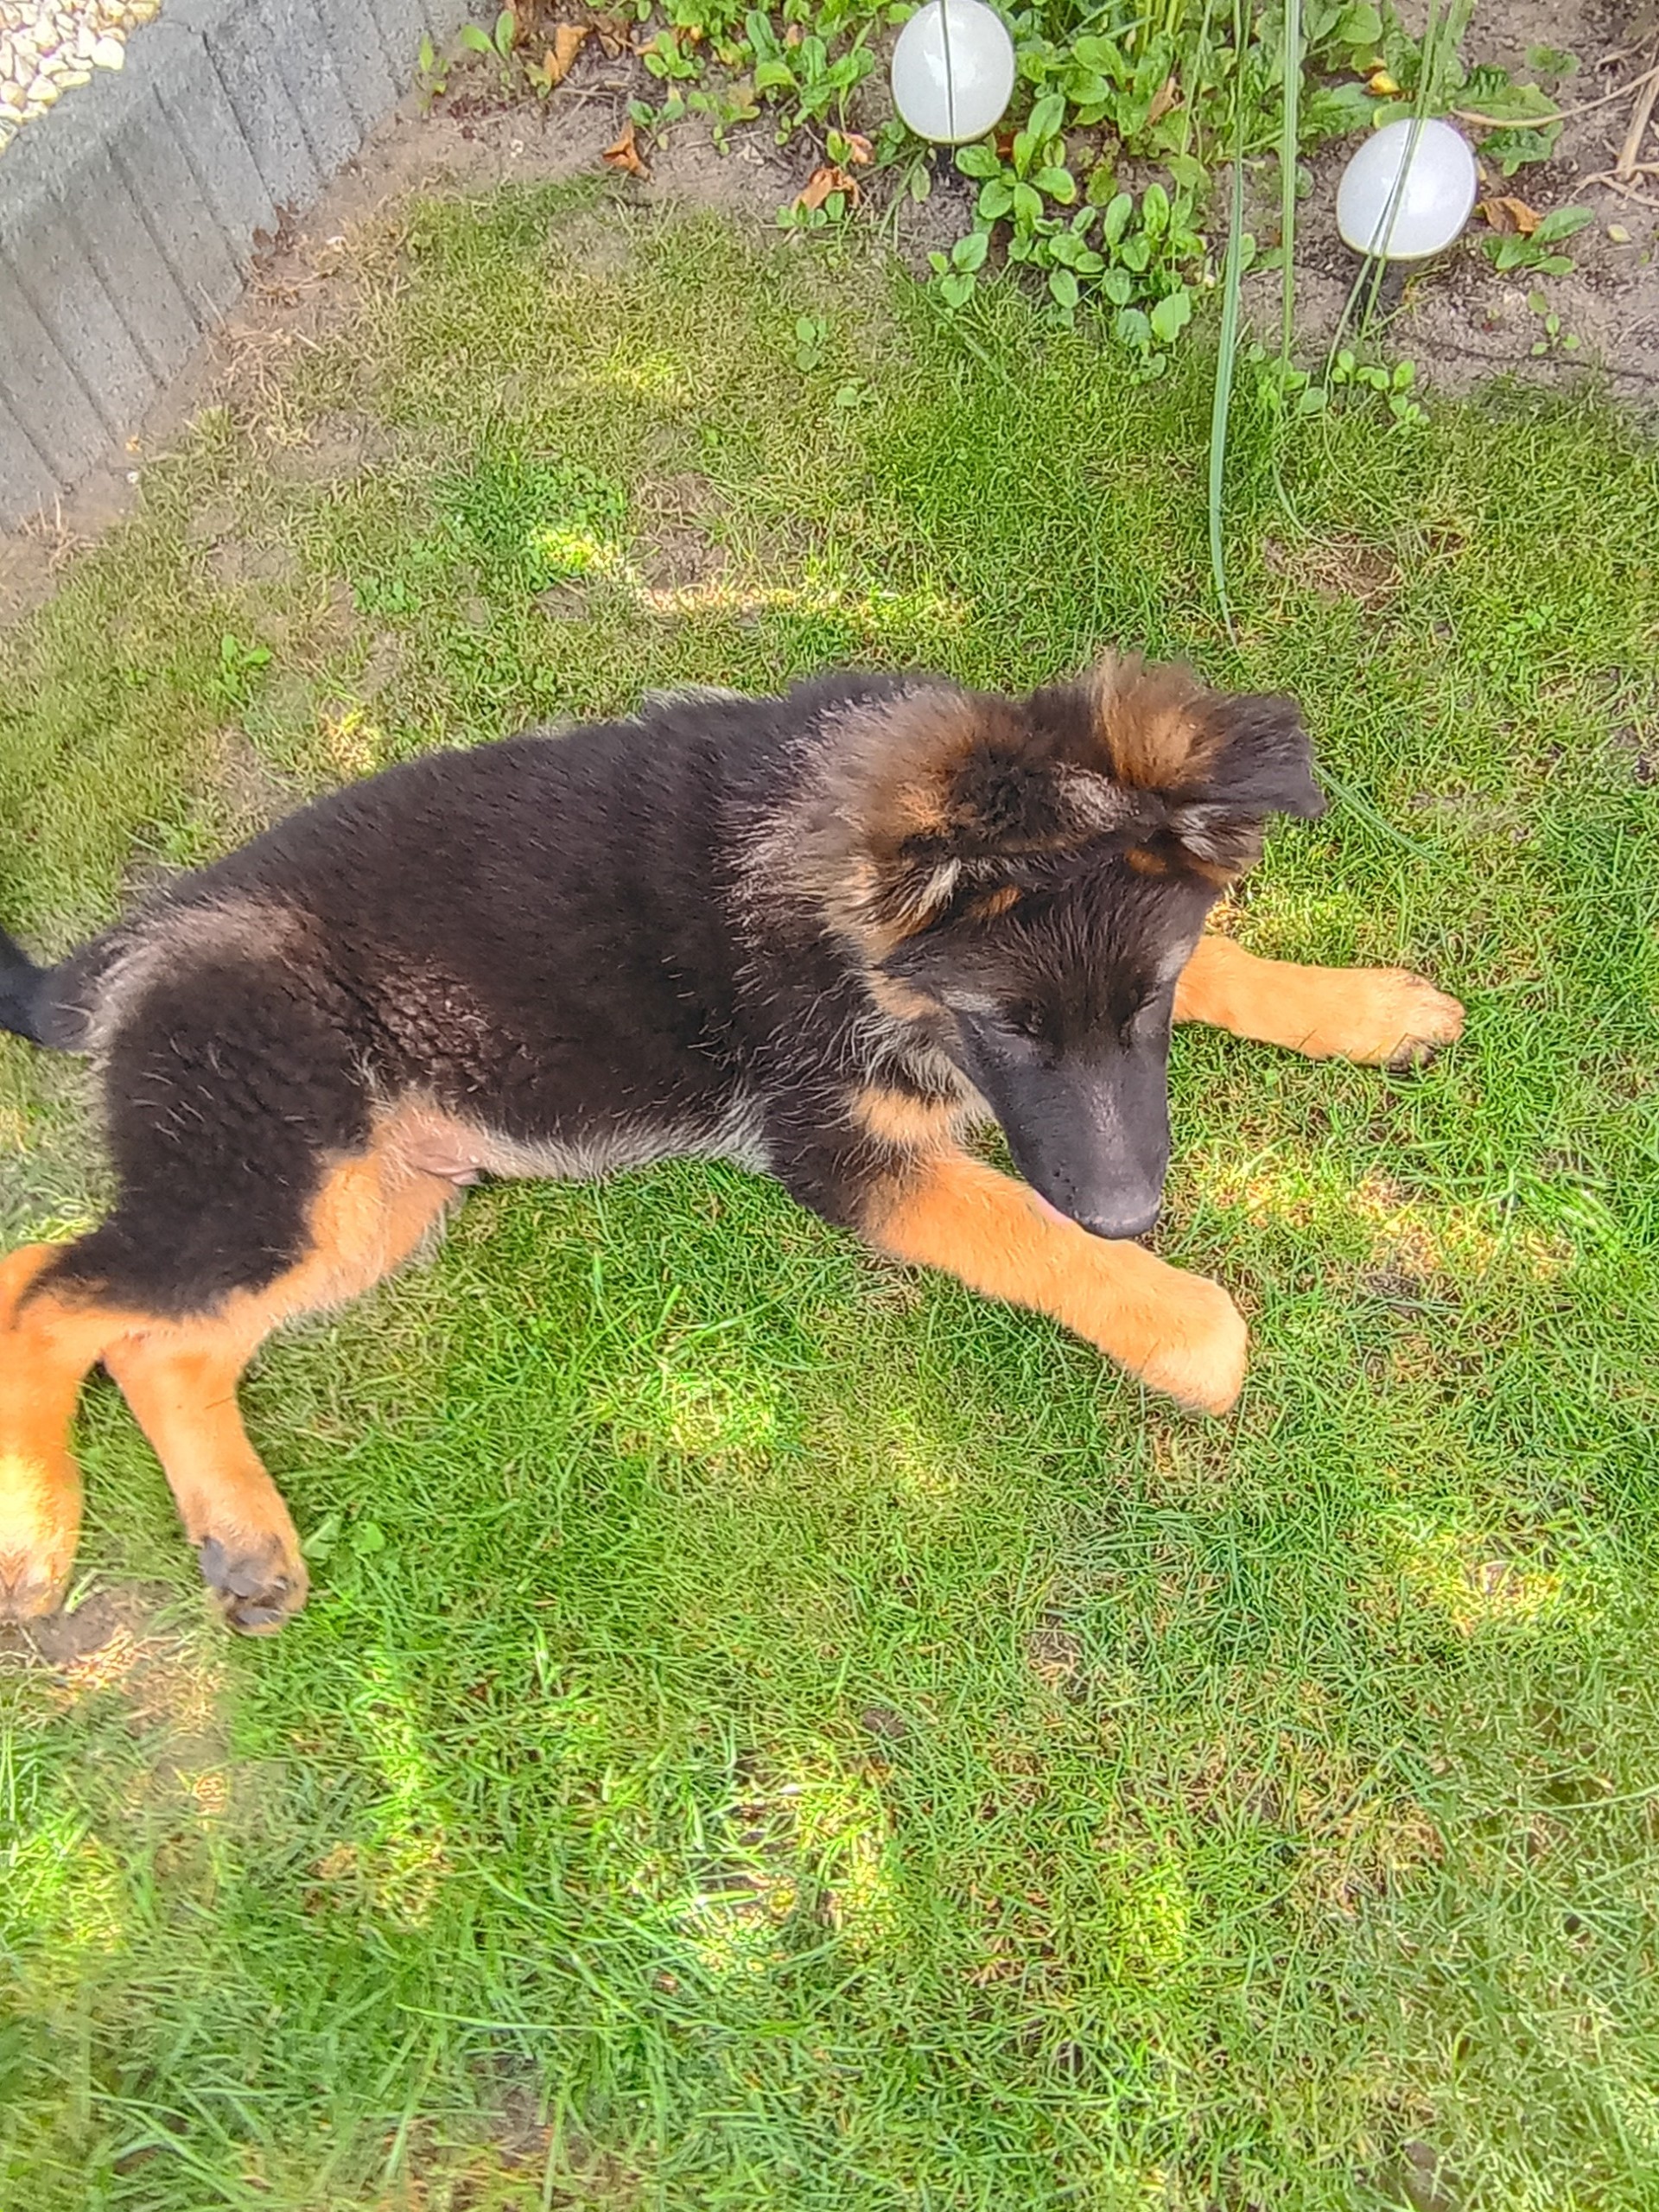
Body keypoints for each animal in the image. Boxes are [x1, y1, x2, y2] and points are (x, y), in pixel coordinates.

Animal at [0, 657, 1463, 1632]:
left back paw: (242, 1541)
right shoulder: (845, 1155)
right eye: (1010, 1028)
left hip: (379, 1198)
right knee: (51, 1290)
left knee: (151, 1336)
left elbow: (1226, 960)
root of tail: (135, 945)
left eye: (1145, 1005)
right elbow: (1027, 1232)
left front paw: (1361, 1005)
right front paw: (1184, 1323)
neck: (857, 926)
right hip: (287, 1171)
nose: (1131, 1211)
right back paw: (34, 1536)